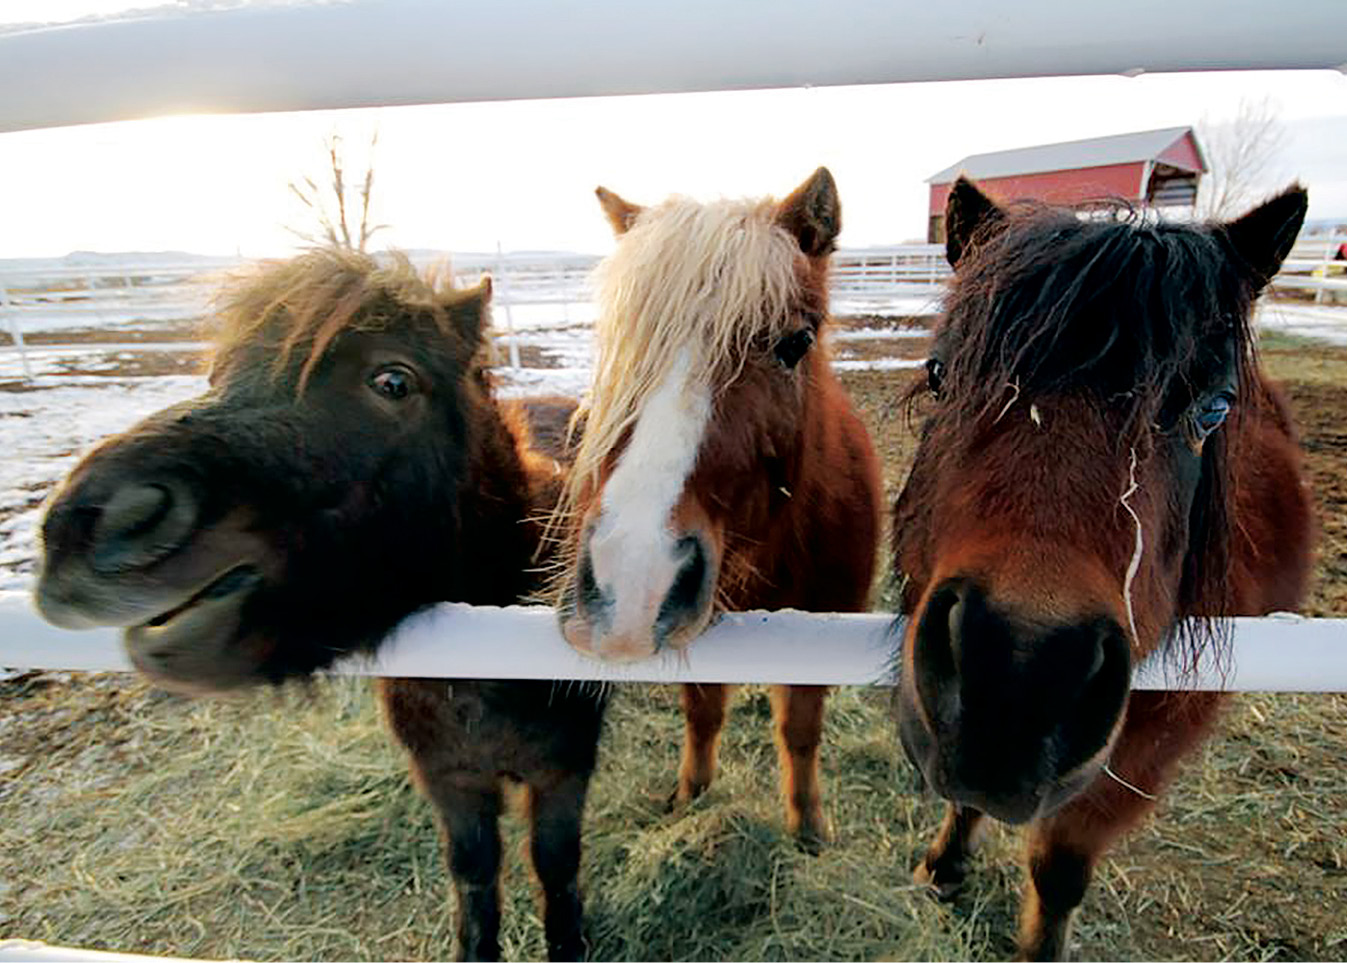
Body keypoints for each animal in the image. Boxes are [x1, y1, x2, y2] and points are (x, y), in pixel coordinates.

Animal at [33, 248, 606, 962]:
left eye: (393, 380)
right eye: (219, 372)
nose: (89, 523)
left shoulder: (563, 774)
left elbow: (555, 867)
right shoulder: (451, 782)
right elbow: (474, 879)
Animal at [553, 168, 883, 849]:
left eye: (796, 342)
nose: (632, 580)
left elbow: (800, 731)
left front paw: (807, 828)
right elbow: (702, 712)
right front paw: (691, 797)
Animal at [891, 177, 1314, 960]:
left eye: (1214, 409)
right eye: (940, 375)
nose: (1019, 676)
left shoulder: (1142, 758)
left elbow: (1058, 868)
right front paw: (942, 867)